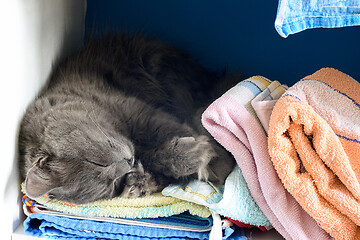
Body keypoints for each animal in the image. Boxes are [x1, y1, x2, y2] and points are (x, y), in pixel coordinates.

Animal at [18, 34, 235, 204]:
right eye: (112, 183)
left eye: (96, 162)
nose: (128, 161)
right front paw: (138, 183)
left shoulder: (138, 114)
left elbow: (167, 135)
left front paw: (205, 158)